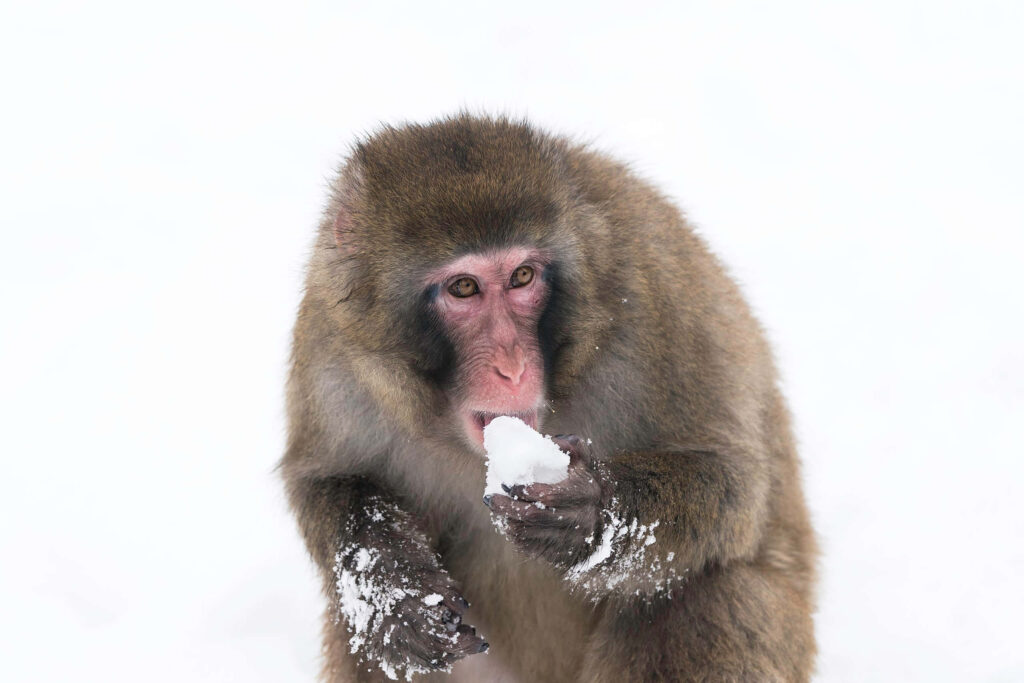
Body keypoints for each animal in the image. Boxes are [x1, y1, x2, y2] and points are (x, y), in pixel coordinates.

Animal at [281, 114, 817, 682]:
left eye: (522, 276)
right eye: (464, 287)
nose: (512, 366)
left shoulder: (657, 295)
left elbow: (734, 484)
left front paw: (591, 511)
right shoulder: (331, 346)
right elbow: (325, 480)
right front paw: (389, 582)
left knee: (701, 588)